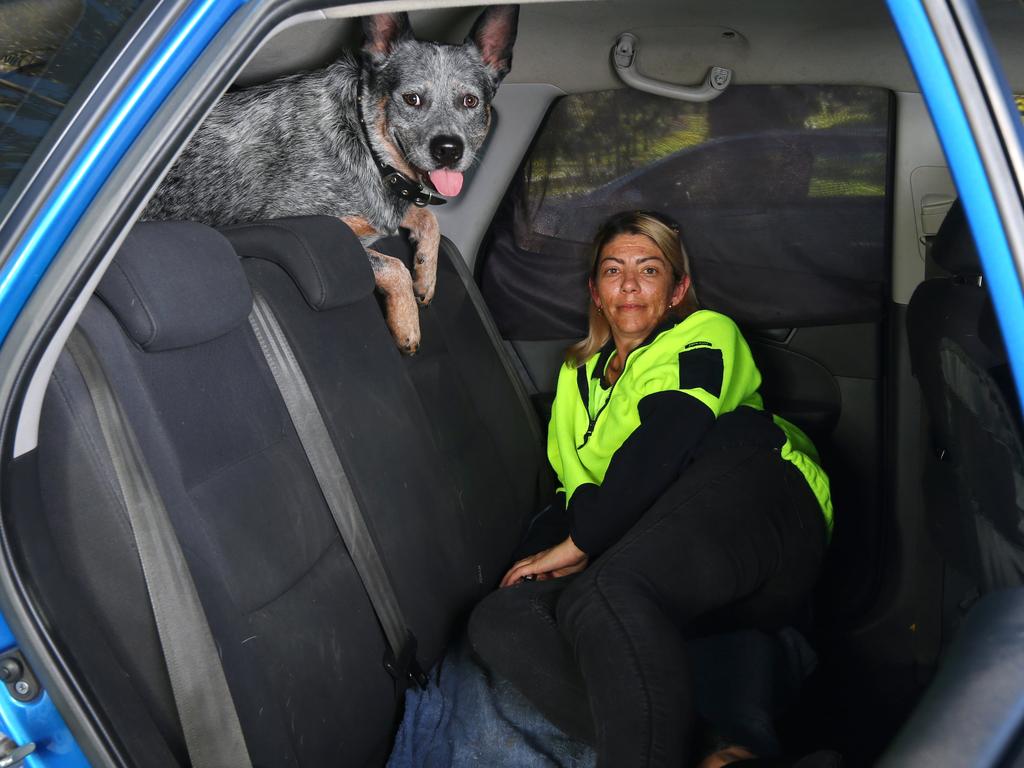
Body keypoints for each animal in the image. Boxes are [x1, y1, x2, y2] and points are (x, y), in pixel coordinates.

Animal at [144, 6, 520, 354]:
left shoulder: (386, 206)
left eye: (470, 101)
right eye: (412, 98)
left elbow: (427, 218)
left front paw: (425, 277)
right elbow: (394, 265)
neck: (365, 141)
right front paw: (407, 324)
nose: (449, 150)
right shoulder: (303, 224)